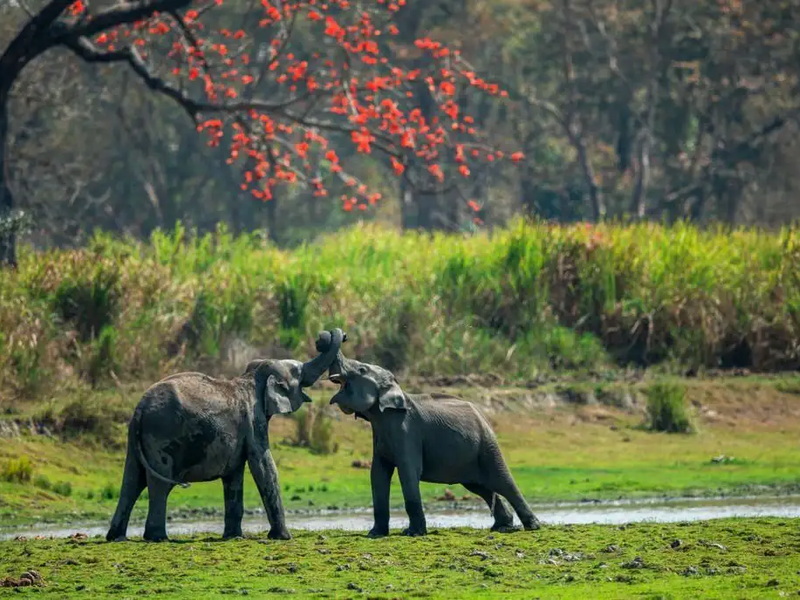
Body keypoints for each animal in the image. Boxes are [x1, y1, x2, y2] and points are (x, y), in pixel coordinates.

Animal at [105, 328, 346, 543]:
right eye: (298, 373)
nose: (326, 337)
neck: (252, 377)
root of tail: (140, 408)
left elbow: (234, 475)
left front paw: (234, 537)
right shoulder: (253, 420)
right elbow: (263, 466)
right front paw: (283, 538)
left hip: (137, 438)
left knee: (132, 481)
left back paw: (116, 537)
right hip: (161, 434)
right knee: (159, 483)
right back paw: (157, 538)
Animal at [327, 352, 541, 537]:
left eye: (361, 369)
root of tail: (484, 416)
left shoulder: (406, 430)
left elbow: (408, 472)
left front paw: (412, 533)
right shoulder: (380, 433)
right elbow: (378, 474)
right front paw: (375, 534)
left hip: (487, 445)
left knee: (503, 481)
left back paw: (532, 526)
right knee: (481, 487)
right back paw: (502, 527)